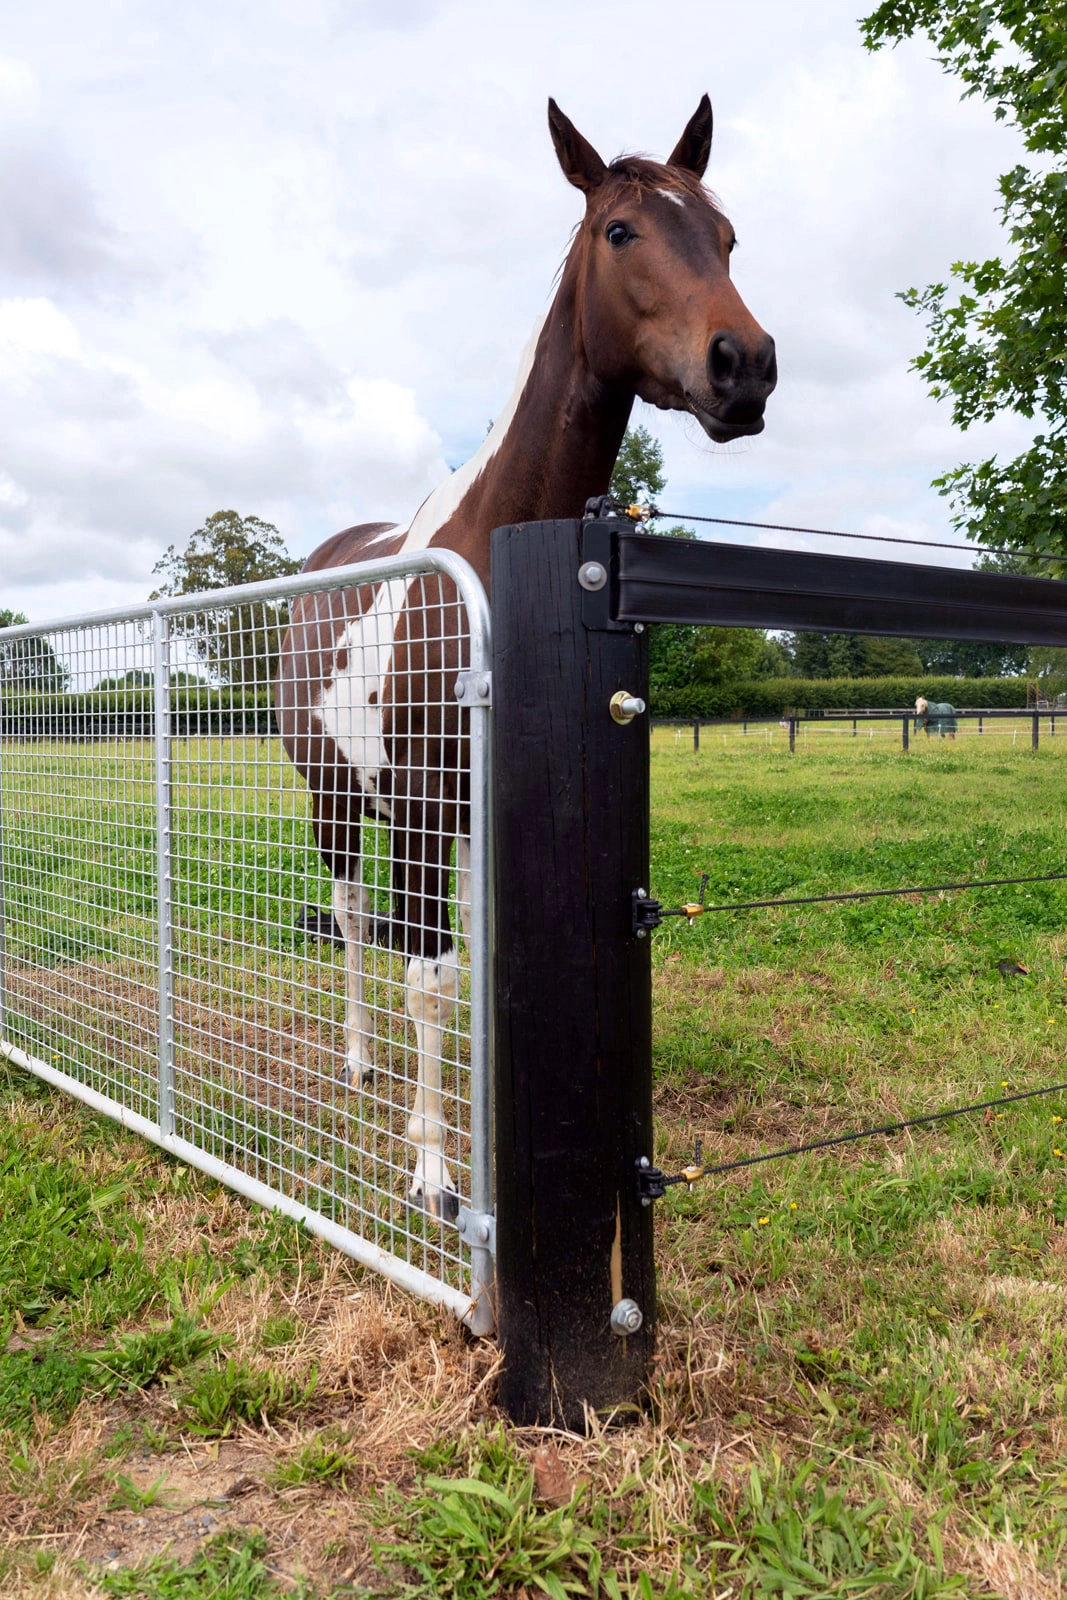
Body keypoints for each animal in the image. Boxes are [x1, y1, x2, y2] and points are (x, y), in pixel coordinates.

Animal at [274, 96, 777, 1221]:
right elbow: (425, 971)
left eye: (726, 238)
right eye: (620, 231)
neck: (493, 557)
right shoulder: (419, 800)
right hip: (335, 795)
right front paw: (432, 1172)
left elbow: (483, 963)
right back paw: (359, 1061)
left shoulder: (501, 802)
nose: (746, 366)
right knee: (355, 918)